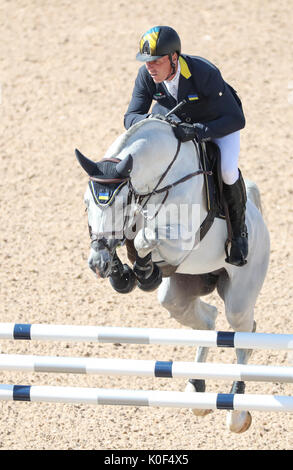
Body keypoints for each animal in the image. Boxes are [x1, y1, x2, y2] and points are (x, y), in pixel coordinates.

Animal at [75, 117, 270, 434]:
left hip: (240, 298)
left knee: (245, 333)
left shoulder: (181, 241)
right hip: (180, 293)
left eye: (121, 204)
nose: (97, 263)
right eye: (85, 203)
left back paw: (237, 412)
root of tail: (257, 217)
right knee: (209, 321)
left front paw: (144, 272)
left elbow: (145, 238)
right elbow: (131, 239)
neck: (159, 179)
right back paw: (195, 388)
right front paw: (122, 274)